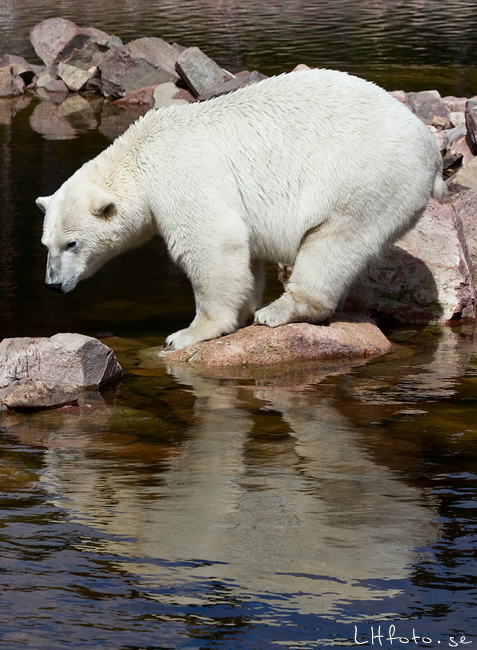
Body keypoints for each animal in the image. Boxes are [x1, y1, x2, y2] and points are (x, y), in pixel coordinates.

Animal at [37, 69, 442, 350]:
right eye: (47, 245)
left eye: (72, 244)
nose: (53, 285)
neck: (138, 157)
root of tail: (433, 154)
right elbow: (246, 255)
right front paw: (244, 309)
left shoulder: (182, 174)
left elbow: (211, 243)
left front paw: (188, 333)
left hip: (367, 177)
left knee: (334, 241)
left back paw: (279, 311)